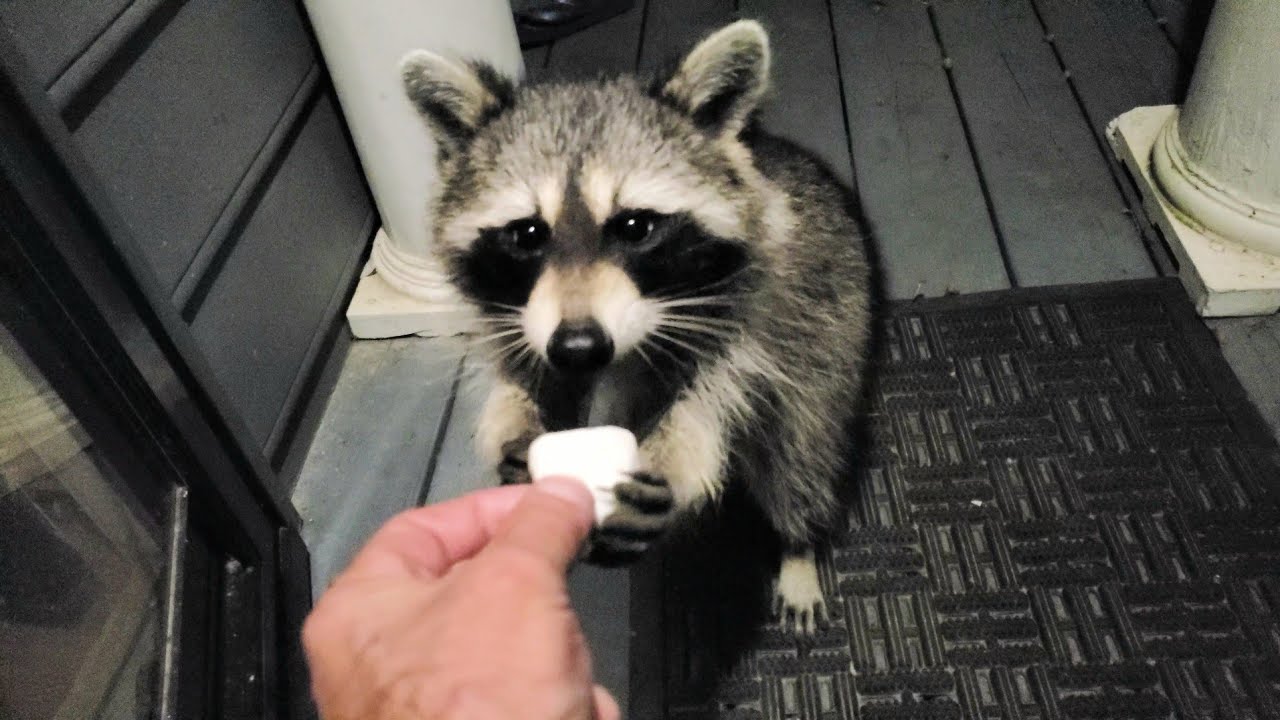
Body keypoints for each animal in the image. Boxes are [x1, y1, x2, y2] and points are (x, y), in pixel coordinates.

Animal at [401, 20, 872, 633]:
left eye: (634, 226)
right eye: (527, 233)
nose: (579, 347)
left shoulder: (747, 315)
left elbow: (715, 393)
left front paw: (673, 459)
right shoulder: (519, 317)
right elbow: (523, 371)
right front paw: (516, 420)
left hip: (830, 335)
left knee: (800, 454)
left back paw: (798, 542)